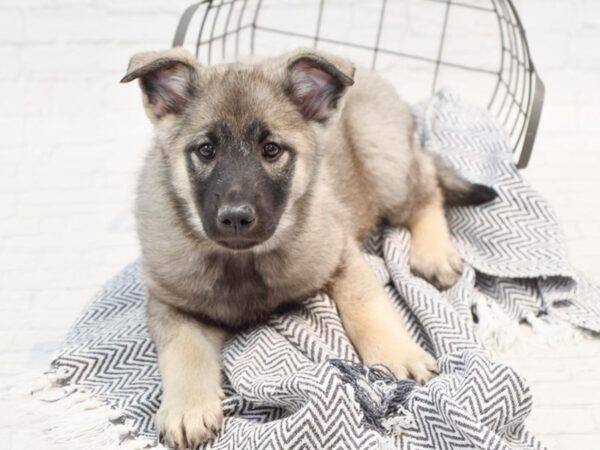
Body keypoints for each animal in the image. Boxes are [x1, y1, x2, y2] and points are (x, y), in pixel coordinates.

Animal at [122, 45, 496, 446]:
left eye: (271, 149)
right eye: (206, 150)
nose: (235, 217)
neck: (245, 260)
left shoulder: (341, 252)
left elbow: (366, 305)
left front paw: (396, 353)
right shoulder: (168, 301)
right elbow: (182, 348)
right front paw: (187, 407)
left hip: (383, 155)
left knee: (426, 185)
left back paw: (434, 252)